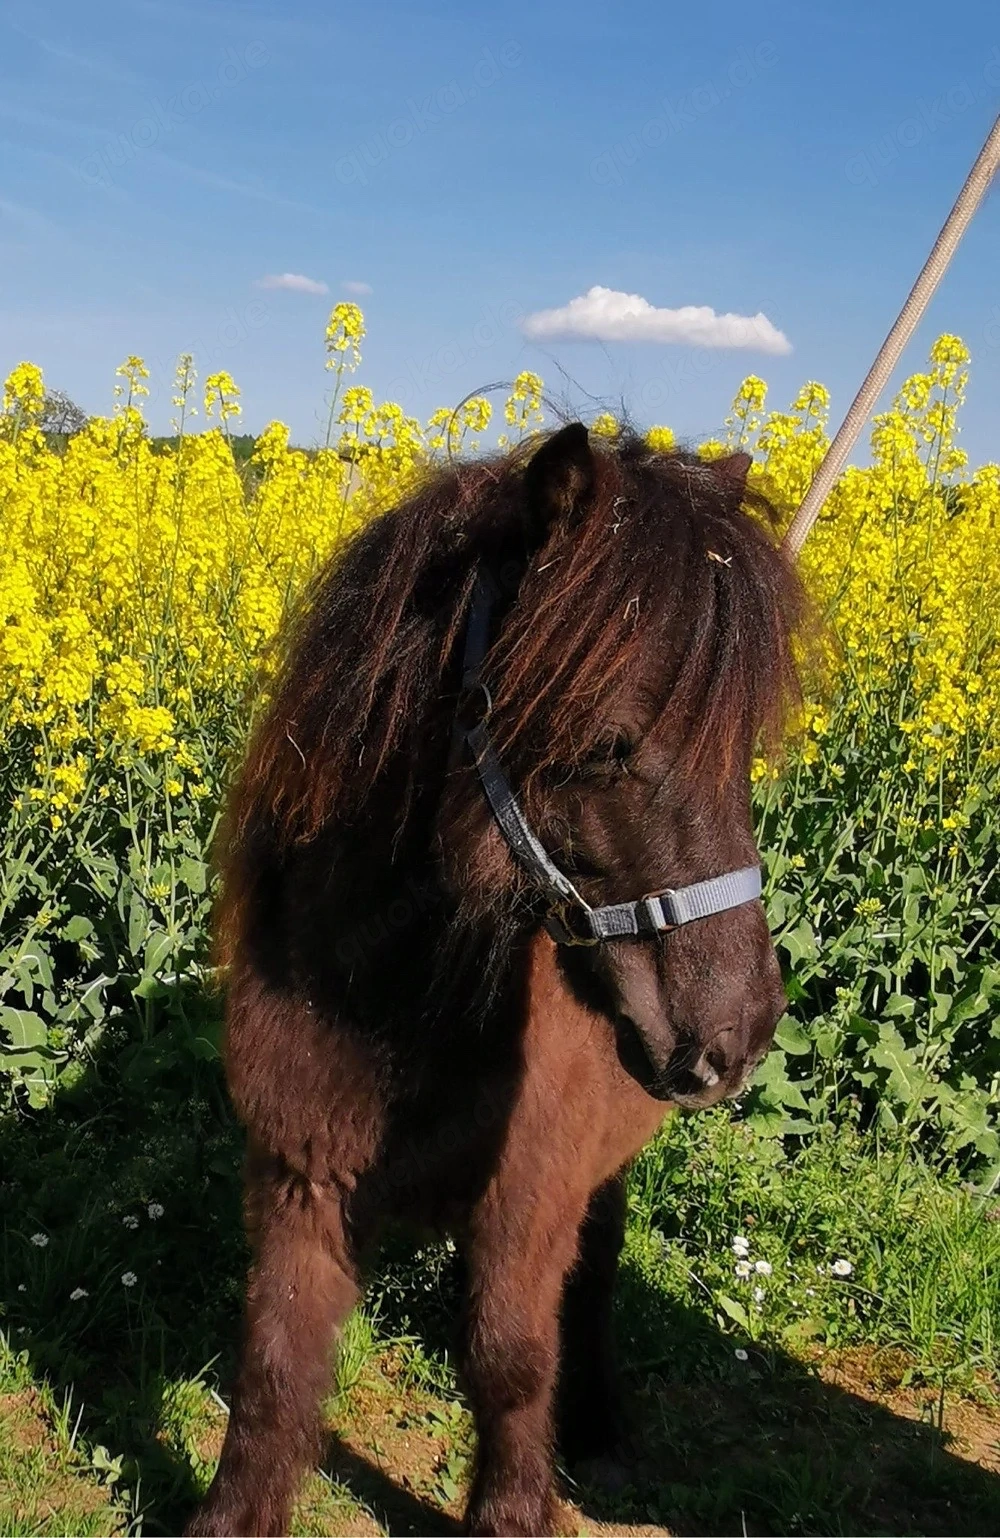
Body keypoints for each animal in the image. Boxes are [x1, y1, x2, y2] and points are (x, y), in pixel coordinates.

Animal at [186, 422, 802, 1537]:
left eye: (741, 750)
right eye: (608, 744)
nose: (740, 1034)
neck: (393, 995)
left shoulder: (532, 1194)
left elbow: (510, 1361)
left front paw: (516, 1507)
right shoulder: (298, 1177)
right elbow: (273, 1372)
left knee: (593, 1274)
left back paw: (597, 1428)